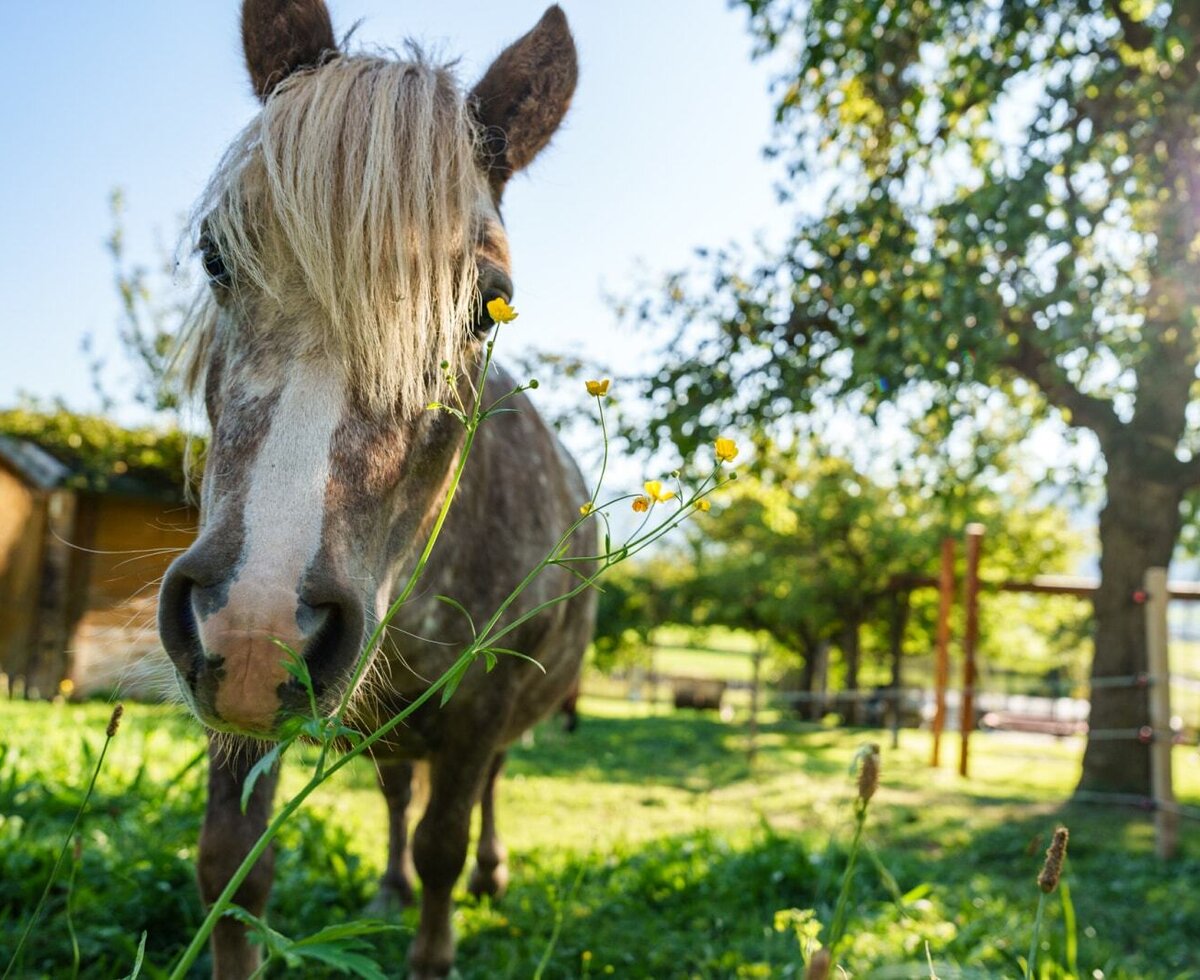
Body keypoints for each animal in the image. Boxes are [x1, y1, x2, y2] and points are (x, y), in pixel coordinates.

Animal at [155, 3, 591, 977]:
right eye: (215, 258)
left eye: (488, 304)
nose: (260, 634)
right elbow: (232, 870)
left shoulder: (480, 706)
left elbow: (445, 846)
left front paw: (438, 937)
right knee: (395, 791)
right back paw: (388, 887)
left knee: (476, 795)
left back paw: (491, 874)